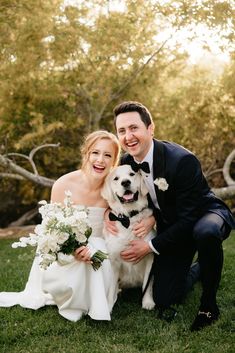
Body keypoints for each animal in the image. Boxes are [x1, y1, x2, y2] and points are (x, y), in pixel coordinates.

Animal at [101, 163, 155, 308]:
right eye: (116, 178)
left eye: (132, 174)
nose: (125, 182)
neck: (129, 218)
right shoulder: (113, 260)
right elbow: (111, 287)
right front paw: (108, 306)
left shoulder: (150, 257)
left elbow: (147, 284)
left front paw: (147, 301)